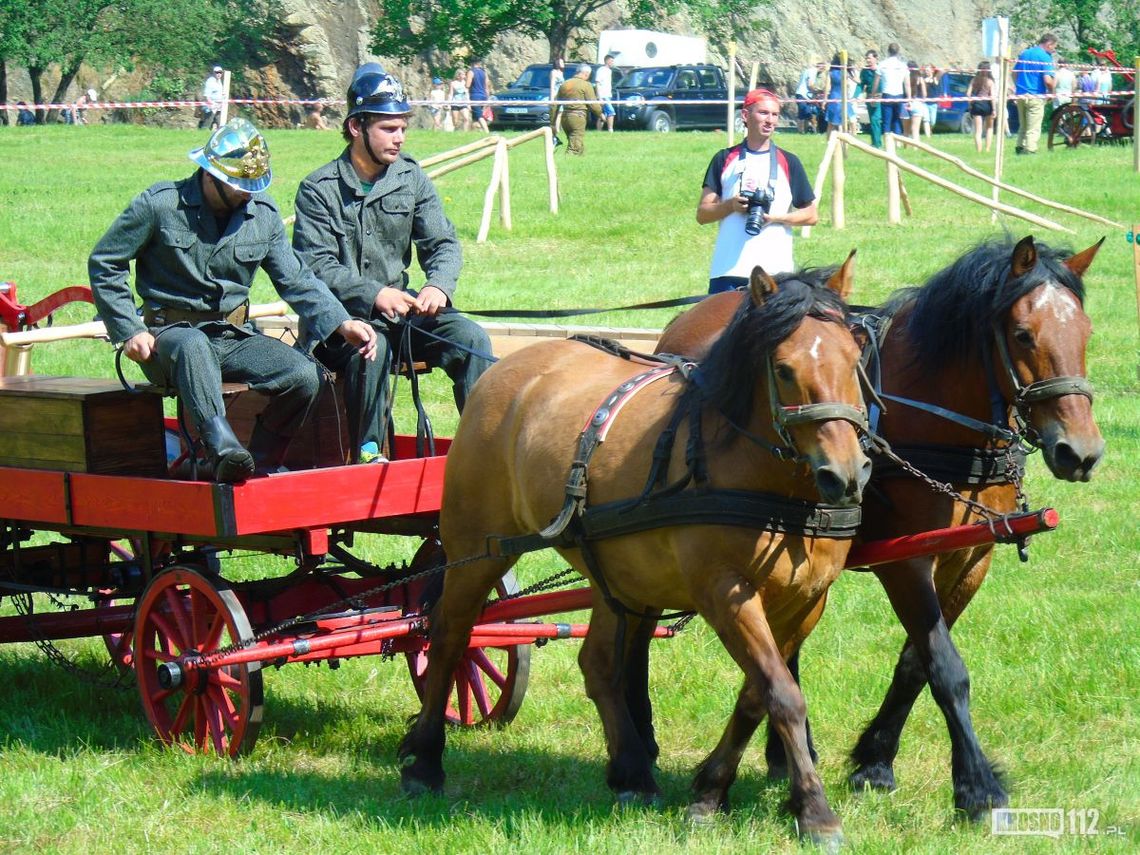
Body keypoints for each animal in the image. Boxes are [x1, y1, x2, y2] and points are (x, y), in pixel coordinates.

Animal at [403, 261, 870, 843]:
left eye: (855, 358)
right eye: (783, 370)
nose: (844, 475)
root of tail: (505, 370)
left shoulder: (806, 601)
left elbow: (756, 694)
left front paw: (710, 791)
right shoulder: (725, 593)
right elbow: (782, 694)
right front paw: (814, 810)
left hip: (619, 575)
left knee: (599, 663)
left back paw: (631, 773)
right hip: (476, 548)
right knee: (449, 637)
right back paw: (425, 761)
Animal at [661, 232, 1103, 816]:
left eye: (1086, 332)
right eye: (1023, 334)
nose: (1081, 452)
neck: (931, 412)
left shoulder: (971, 557)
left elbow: (917, 662)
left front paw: (876, 762)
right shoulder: (906, 561)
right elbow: (946, 667)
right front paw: (978, 786)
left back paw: (784, 755)